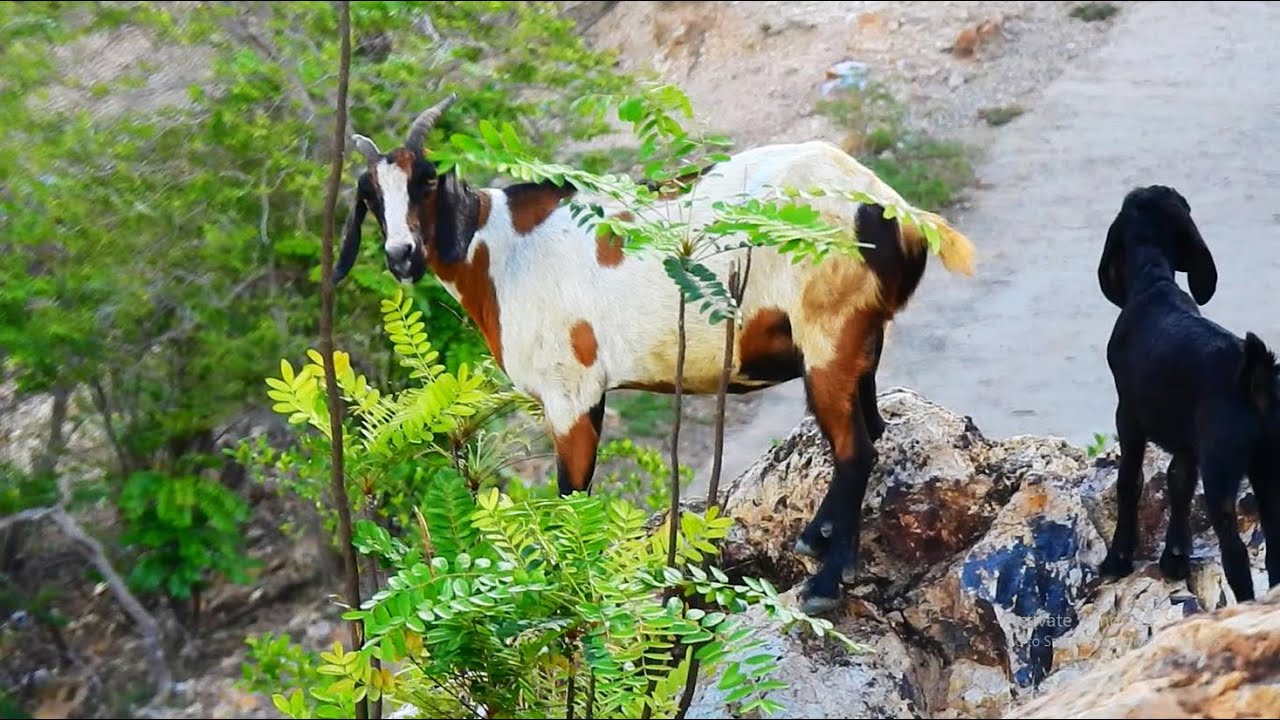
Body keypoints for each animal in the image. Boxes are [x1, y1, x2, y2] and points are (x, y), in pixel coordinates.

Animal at [332, 96, 978, 614]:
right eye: (370, 196)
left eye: (426, 181)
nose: (402, 255)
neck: (504, 252)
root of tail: (893, 210)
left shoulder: (572, 391)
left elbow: (571, 498)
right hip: (858, 340)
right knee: (872, 429)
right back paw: (821, 542)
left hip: (829, 336)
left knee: (857, 449)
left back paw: (823, 585)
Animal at [1096, 184, 1279, 603]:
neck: (1155, 285)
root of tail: (1255, 382)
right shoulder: (1186, 443)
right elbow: (1178, 482)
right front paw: (1175, 556)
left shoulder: (1127, 416)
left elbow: (1129, 482)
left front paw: (1117, 558)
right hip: (1268, 469)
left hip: (1221, 471)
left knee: (1235, 553)